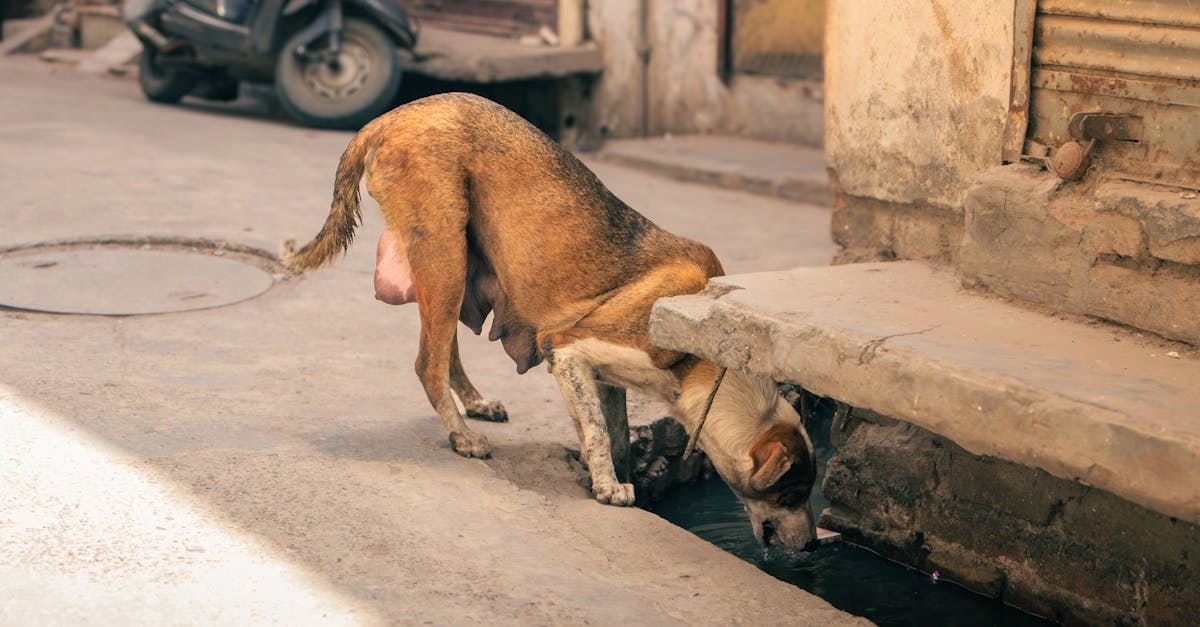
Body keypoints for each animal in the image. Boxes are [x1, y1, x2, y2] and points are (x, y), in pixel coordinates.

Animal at [285, 92, 820, 547]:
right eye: (792, 494)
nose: (814, 546)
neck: (704, 357)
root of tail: (398, 113)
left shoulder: (603, 375)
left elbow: (613, 434)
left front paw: (609, 475)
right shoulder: (568, 347)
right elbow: (599, 431)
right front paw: (609, 488)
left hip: (453, 261)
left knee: (444, 348)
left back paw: (475, 404)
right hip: (443, 252)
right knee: (427, 363)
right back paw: (463, 436)